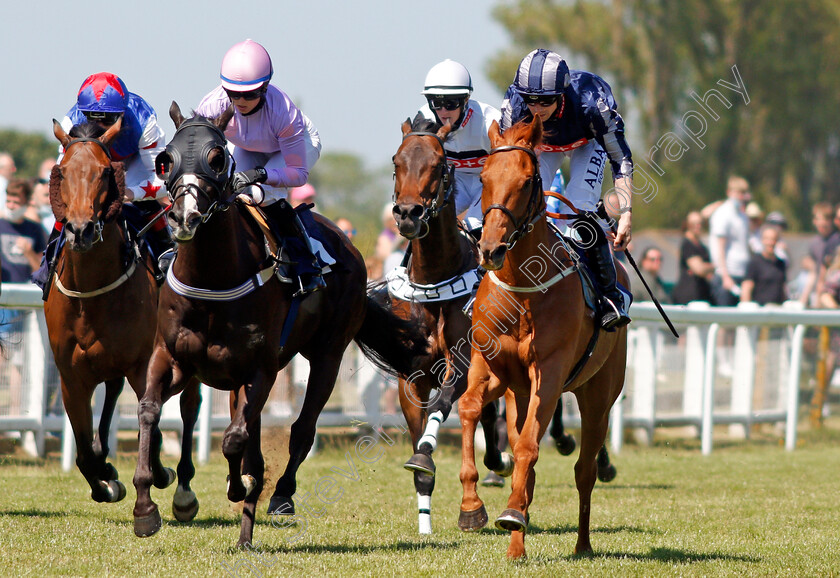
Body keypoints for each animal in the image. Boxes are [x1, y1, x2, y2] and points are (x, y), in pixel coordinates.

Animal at [46, 119, 202, 516]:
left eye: (105, 171)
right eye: (62, 171)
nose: (81, 230)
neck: (93, 291)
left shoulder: (143, 365)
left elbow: (157, 427)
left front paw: (159, 473)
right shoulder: (71, 377)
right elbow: (84, 451)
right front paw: (107, 478)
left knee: (190, 408)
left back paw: (184, 489)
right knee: (113, 393)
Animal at [135, 104, 430, 544]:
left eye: (216, 157)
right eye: (165, 159)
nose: (185, 217)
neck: (212, 279)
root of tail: (346, 242)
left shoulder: (262, 368)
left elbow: (235, 439)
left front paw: (238, 488)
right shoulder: (172, 359)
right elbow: (150, 412)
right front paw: (146, 502)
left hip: (327, 355)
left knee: (302, 429)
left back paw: (280, 496)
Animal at [390, 118, 508, 532]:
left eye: (439, 164)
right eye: (396, 161)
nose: (408, 213)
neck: (436, 281)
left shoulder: (462, 362)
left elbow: (443, 402)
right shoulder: (410, 376)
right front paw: (424, 525)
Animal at [456, 115, 628, 556]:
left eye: (527, 180)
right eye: (483, 177)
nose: (490, 249)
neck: (523, 290)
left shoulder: (547, 374)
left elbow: (530, 446)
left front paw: (509, 512)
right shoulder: (491, 370)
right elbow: (470, 409)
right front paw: (471, 506)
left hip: (598, 394)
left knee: (584, 469)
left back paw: (580, 544)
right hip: (519, 395)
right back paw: (517, 541)